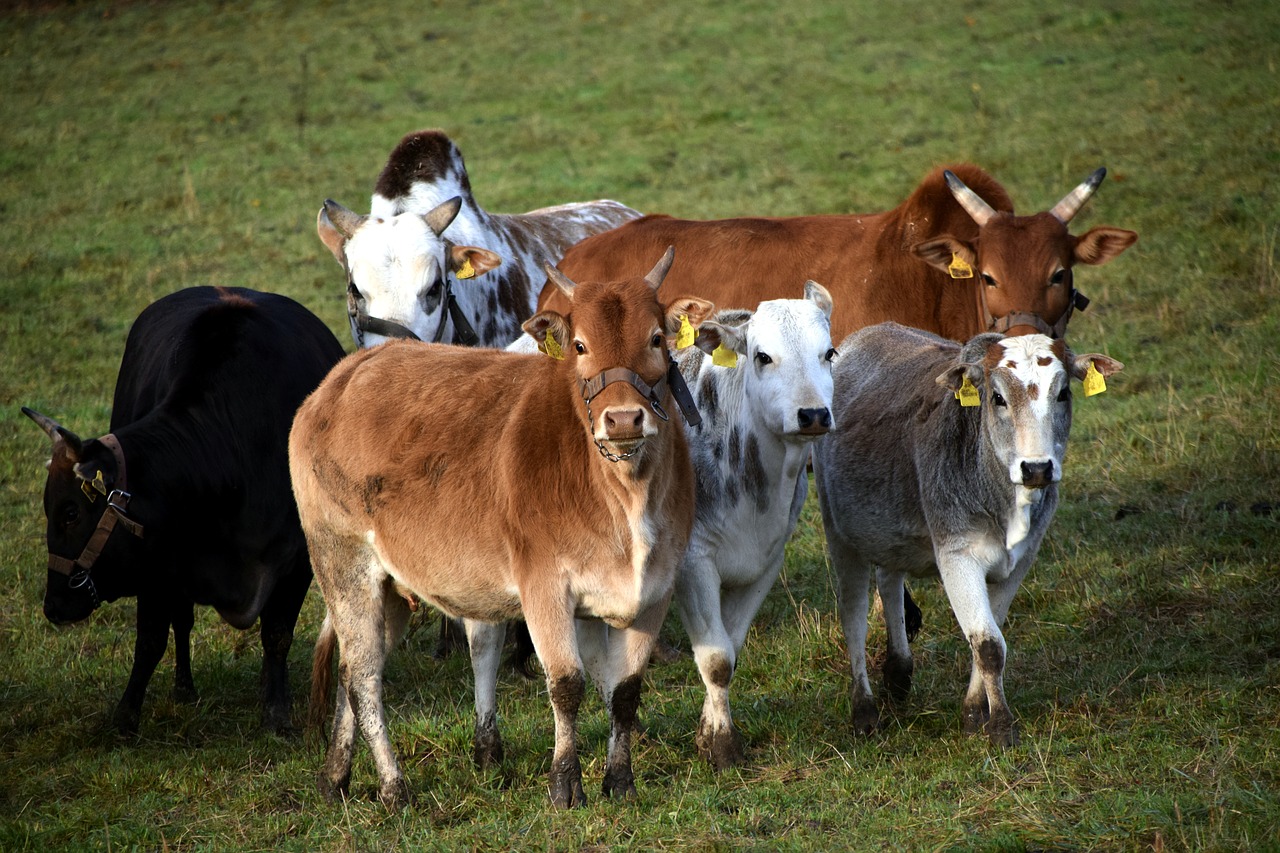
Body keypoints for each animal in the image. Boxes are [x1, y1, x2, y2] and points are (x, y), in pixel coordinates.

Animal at [24, 285, 345, 732]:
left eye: (71, 513)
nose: (53, 606)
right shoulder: (157, 564)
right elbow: (151, 638)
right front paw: (126, 715)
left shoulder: (299, 561)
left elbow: (277, 635)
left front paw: (276, 713)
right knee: (182, 622)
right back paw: (184, 688)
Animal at [293, 249, 721, 809]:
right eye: (580, 345)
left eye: (655, 339)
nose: (624, 419)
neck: (625, 498)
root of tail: (346, 373)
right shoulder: (544, 586)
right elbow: (567, 685)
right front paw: (565, 784)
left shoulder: (654, 591)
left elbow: (625, 692)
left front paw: (620, 781)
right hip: (342, 562)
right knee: (364, 677)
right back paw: (394, 787)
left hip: (388, 587)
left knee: (352, 670)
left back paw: (335, 776)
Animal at [670, 281, 839, 768]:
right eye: (763, 356)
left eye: (829, 353)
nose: (813, 414)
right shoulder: (694, 563)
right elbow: (715, 659)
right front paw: (723, 746)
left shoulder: (766, 563)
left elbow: (732, 648)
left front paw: (708, 731)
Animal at [808, 322, 1121, 742]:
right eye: (997, 397)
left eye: (1064, 393)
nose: (1036, 468)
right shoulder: (957, 555)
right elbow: (987, 644)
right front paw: (1001, 725)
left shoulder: (1022, 559)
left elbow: (991, 638)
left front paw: (974, 714)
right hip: (841, 535)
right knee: (853, 616)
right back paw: (864, 710)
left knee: (889, 581)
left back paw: (898, 672)